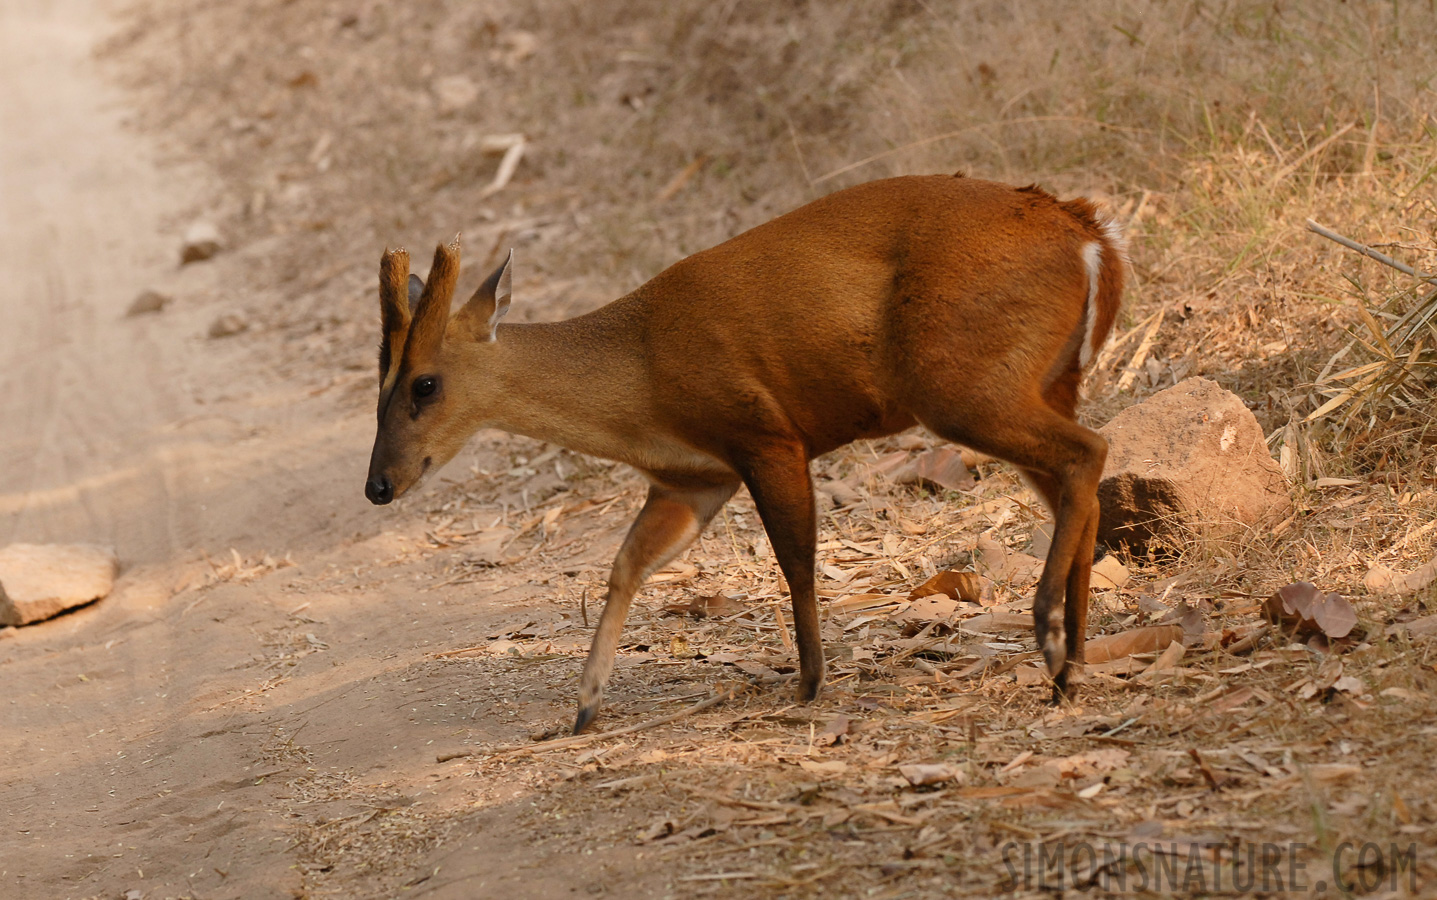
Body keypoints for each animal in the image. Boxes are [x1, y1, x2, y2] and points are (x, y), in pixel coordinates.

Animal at [364, 173, 1126, 730]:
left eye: (424, 383)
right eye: (378, 384)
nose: (377, 486)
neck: (641, 374)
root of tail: (1090, 235)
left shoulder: (765, 434)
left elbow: (796, 559)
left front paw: (810, 682)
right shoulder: (693, 479)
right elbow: (626, 566)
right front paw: (583, 707)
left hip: (959, 383)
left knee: (1089, 449)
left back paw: (1049, 634)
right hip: (1044, 379)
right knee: (1079, 481)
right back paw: (1073, 661)